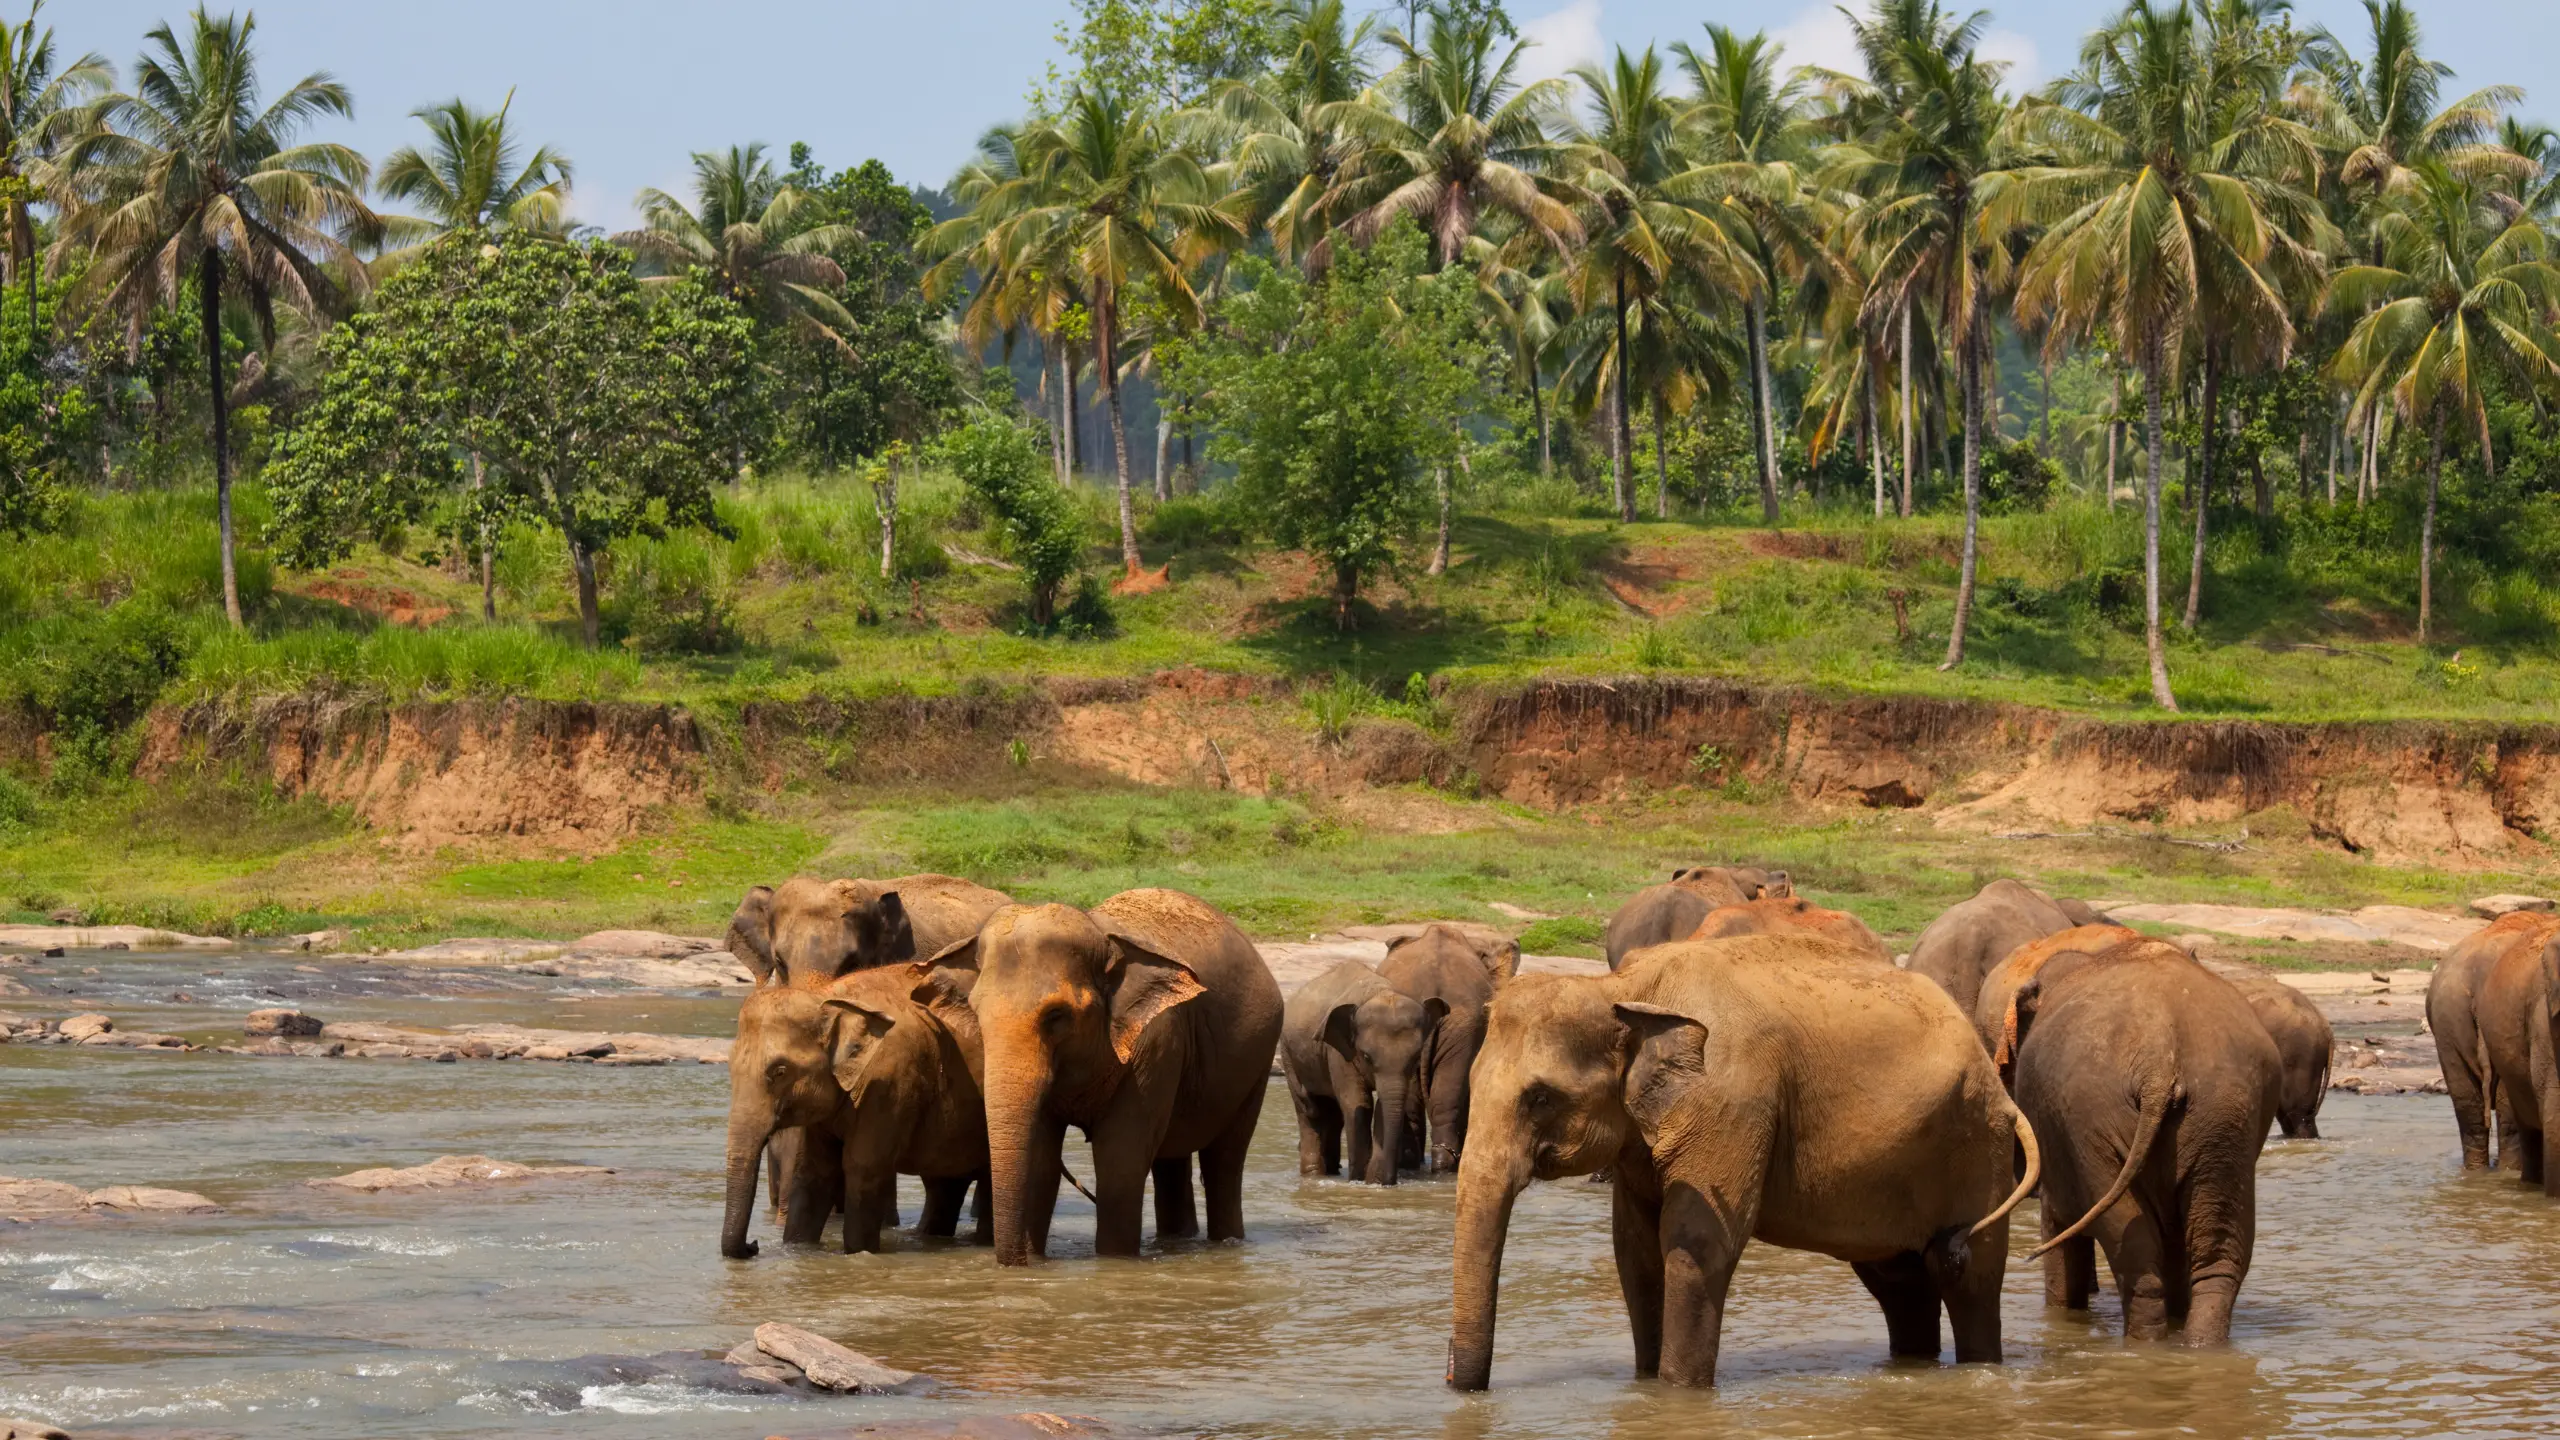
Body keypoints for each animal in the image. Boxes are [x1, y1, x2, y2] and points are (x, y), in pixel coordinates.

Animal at [718, 961, 992, 1258]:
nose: (753, 1245)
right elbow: (814, 1172)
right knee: (944, 1186)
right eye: (730, 1066)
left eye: (779, 1071)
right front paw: (799, 1249)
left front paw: (859, 1254)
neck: (828, 998)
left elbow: (862, 1168)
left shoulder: (889, 1082)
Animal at [920, 888, 1283, 1264]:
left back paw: (1228, 1241)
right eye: (976, 1013)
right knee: (1172, 1162)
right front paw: (1037, 1263)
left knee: (1225, 1162)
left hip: (1257, 1061)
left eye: (1056, 1015)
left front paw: (1114, 1264)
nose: (1013, 1262)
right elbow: (1041, 1164)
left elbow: (1119, 1162)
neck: (1101, 936)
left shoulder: (1156, 1041)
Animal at [1281, 960, 1446, 1184]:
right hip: (1288, 1053)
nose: (1389, 1180)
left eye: (1415, 1058)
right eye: (1366, 1056)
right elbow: (1358, 1104)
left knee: (1331, 1113)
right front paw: (1359, 1181)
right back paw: (1314, 1176)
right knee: (1310, 1110)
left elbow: (1383, 1107)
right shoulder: (1338, 1051)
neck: (1379, 991)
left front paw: (1373, 1181)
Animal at [1446, 933, 2041, 1390]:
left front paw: (1677, 1395)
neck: (1626, 989)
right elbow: (1635, 1252)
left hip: (1976, 1144)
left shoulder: (1730, 1101)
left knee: (1964, 1272)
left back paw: (1980, 1366)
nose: (1457, 1383)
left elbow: (1696, 1243)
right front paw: (1646, 1388)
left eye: (1539, 1098)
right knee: (1899, 1279)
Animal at [2006, 938, 2282, 1343]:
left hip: (2092, 1122)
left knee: (2132, 1247)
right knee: (2216, 1252)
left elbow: (2057, 1225)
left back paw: (2144, 1343)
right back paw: (2197, 1344)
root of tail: (2158, 1064)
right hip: (2225, 1114)